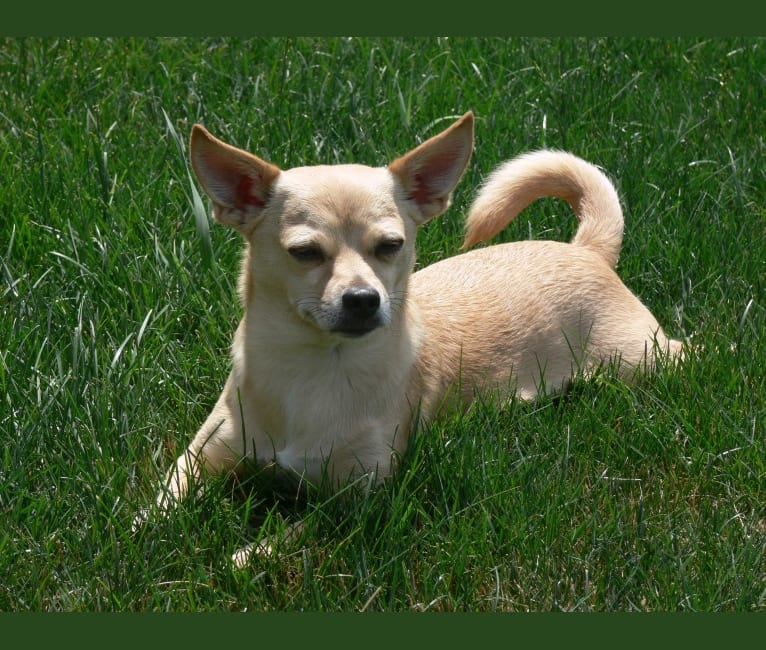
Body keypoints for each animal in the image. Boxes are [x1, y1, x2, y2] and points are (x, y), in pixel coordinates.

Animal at [144, 109, 684, 560]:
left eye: (390, 245)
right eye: (304, 252)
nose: (364, 298)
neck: (315, 368)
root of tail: (587, 250)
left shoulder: (359, 499)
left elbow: (297, 530)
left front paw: (239, 558)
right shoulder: (201, 457)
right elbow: (160, 501)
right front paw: (140, 538)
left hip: (640, 361)